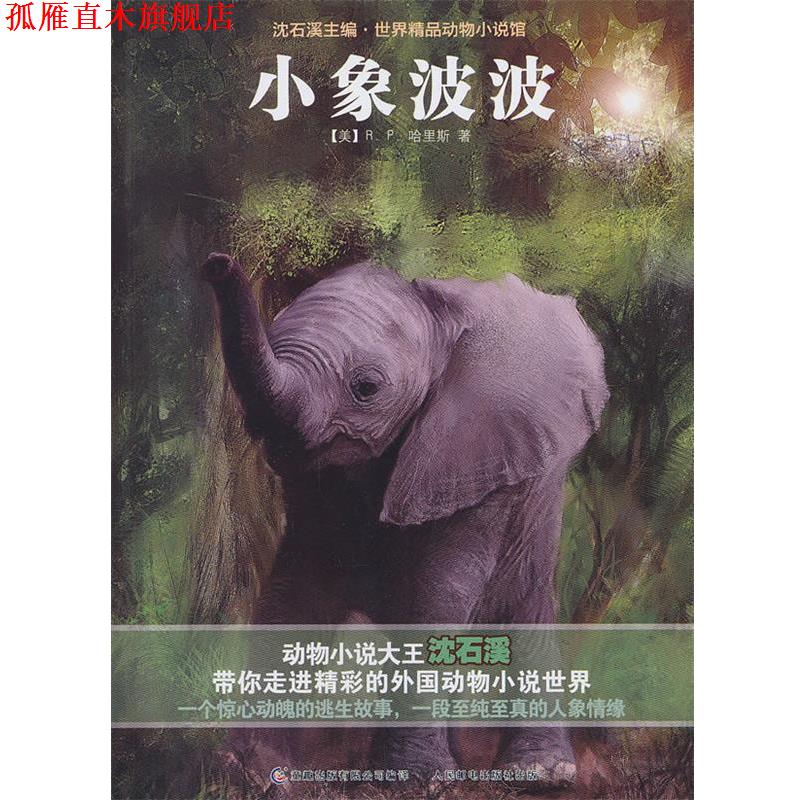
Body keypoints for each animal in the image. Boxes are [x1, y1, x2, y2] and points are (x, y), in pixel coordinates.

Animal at [200, 252, 608, 790]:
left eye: (366, 388)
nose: (217, 263)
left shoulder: (478, 454)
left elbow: (437, 591)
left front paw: (418, 781)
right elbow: (296, 586)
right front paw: (256, 773)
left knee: (523, 609)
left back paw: (538, 776)